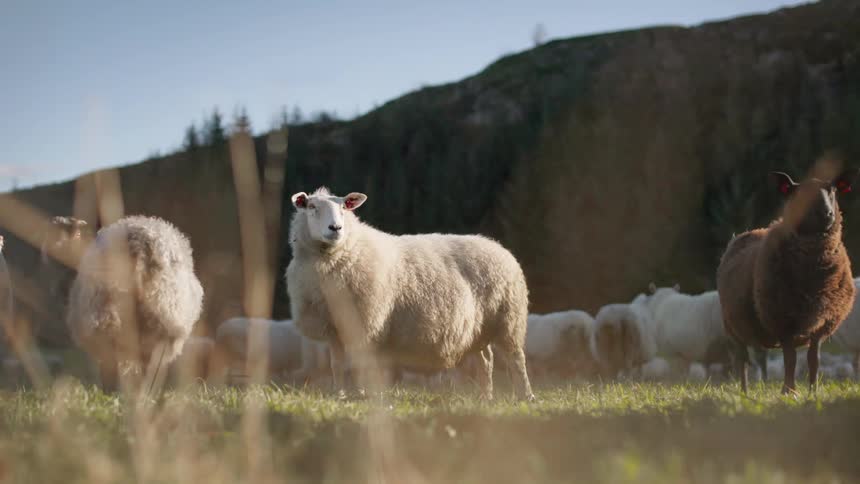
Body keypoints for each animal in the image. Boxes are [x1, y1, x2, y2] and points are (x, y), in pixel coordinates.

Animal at [285, 187, 533, 400]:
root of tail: (497, 246)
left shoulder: (365, 322)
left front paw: (364, 395)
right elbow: (337, 365)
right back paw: (486, 397)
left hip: (508, 319)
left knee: (516, 360)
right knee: (485, 360)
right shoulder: (333, 327)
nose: (335, 228)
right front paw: (340, 395)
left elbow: (359, 364)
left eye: (344, 208)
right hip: (479, 328)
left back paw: (525, 396)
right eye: (312, 207)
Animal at [717, 168, 858, 394]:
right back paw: (744, 392)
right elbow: (790, 360)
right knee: (742, 361)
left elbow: (814, 360)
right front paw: (788, 391)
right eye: (799, 194)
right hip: (733, 327)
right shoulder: (783, 321)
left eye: (833, 190)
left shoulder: (822, 324)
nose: (826, 214)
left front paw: (812, 391)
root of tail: (744, 233)